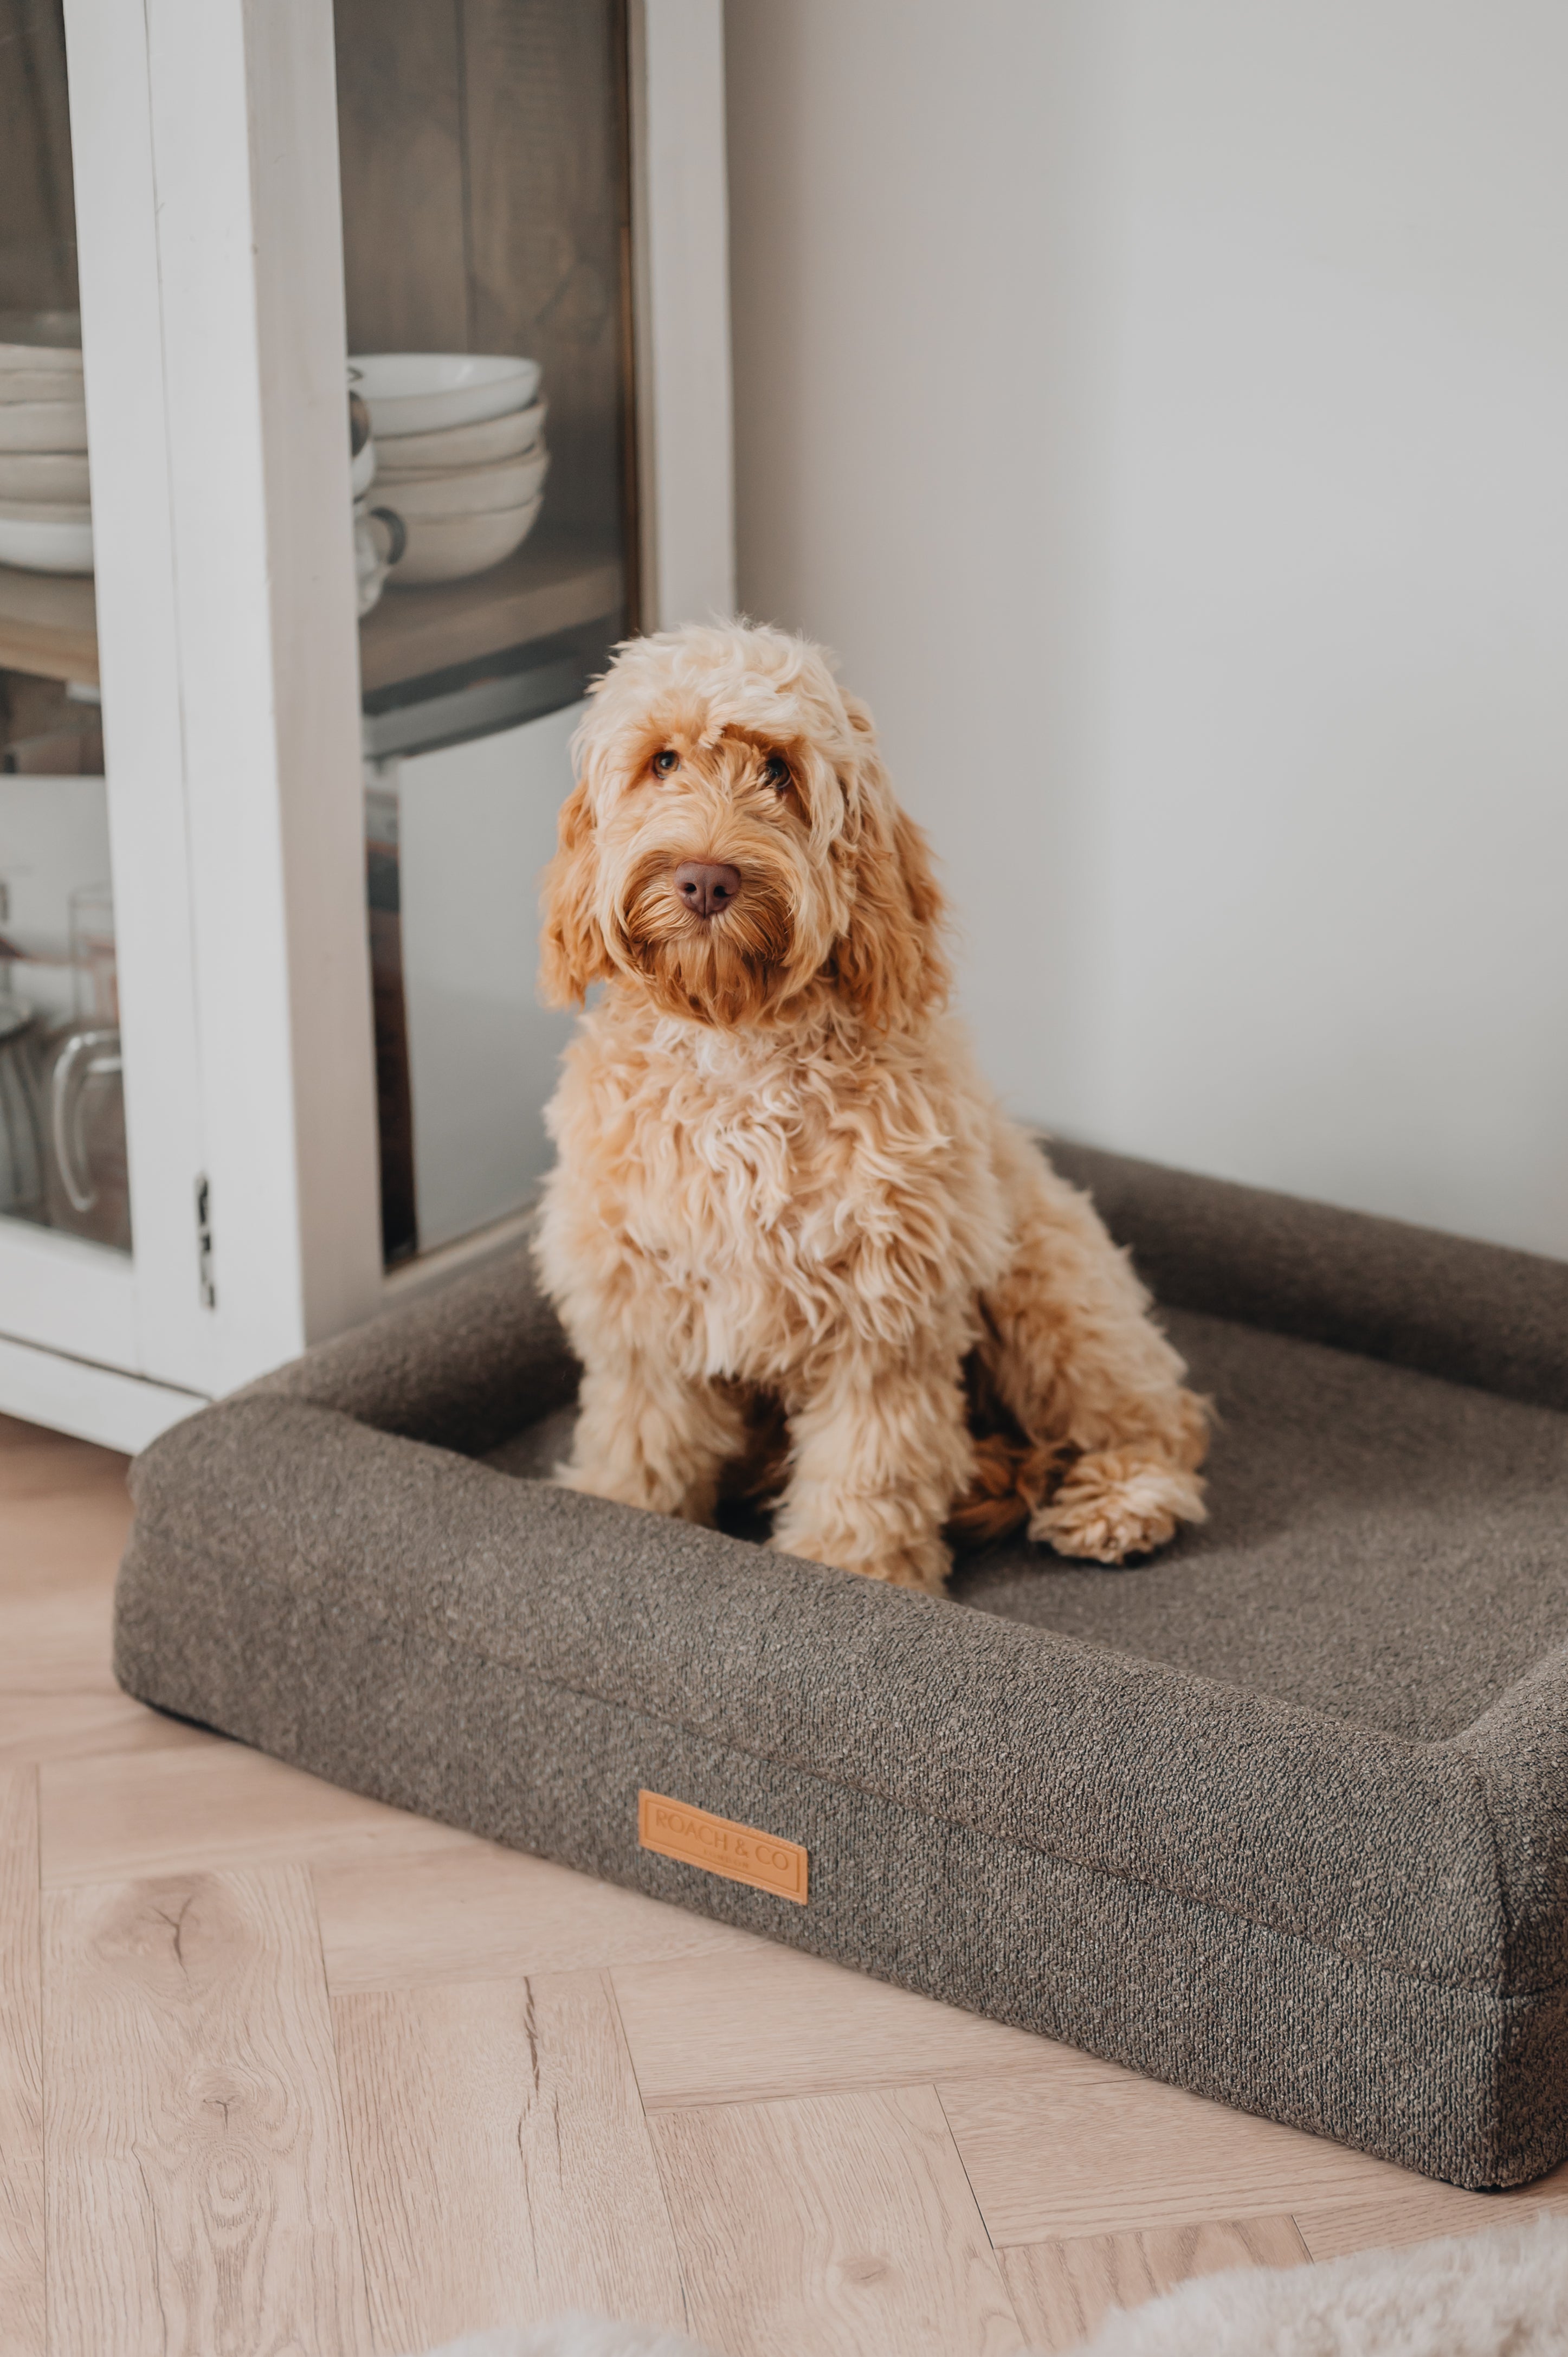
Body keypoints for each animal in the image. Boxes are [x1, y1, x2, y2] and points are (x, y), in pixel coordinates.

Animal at [533, 617, 1202, 1593]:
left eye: (778, 771)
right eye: (662, 761)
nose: (705, 879)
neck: (738, 1053)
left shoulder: (884, 1315)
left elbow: (868, 1468)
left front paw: (853, 1572)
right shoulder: (641, 1307)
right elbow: (642, 1440)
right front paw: (620, 1509)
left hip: (1047, 1291)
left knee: (1159, 1419)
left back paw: (1119, 1503)